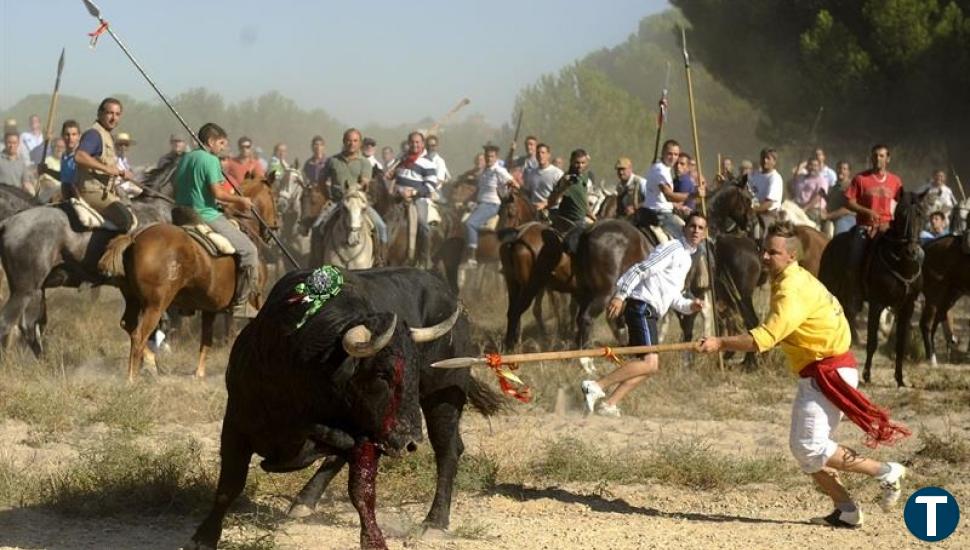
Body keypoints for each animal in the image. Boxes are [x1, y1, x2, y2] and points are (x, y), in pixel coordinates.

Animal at [99, 178, 278, 384]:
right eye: (273, 196)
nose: (275, 226)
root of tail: (134, 238)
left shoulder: (210, 308)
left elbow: (206, 339)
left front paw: (199, 373)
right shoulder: (256, 299)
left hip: (134, 299)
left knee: (128, 325)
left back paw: (150, 364)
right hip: (155, 305)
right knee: (139, 335)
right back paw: (132, 378)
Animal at [192, 268, 502, 550]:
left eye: (415, 372)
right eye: (383, 374)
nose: (410, 441)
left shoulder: (365, 436)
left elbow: (360, 489)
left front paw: (373, 538)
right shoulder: (236, 421)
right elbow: (229, 485)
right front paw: (205, 536)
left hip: (443, 399)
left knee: (447, 450)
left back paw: (435, 522)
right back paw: (304, 501)